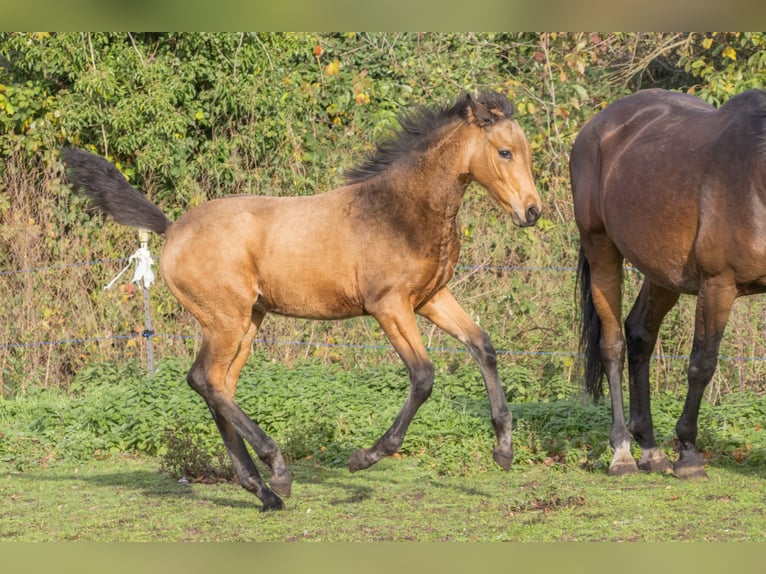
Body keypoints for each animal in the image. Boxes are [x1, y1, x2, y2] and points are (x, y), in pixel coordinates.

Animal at [63, 91, 541, 510]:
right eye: (504, 152)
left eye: (525, 152)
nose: (532, 212)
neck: (400, 211)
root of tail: (172, 229)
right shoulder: (389, 306)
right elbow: (423, 377)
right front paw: (363, 458)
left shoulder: (431, 298)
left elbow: (483, 346)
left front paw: (503, 450)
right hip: (225, 321)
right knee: (203, 380)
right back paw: (277, 470)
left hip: (247, 323)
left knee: (219, 387)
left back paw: (264, 491)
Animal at [572, 88, 766, 479]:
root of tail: (595, 128)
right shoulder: (717, 286)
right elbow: (701, 365)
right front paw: (689, 455)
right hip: (601, 251)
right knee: (613, 346)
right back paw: (622, 452)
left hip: (662, 273)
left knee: (639, 335)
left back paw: (650, 449)